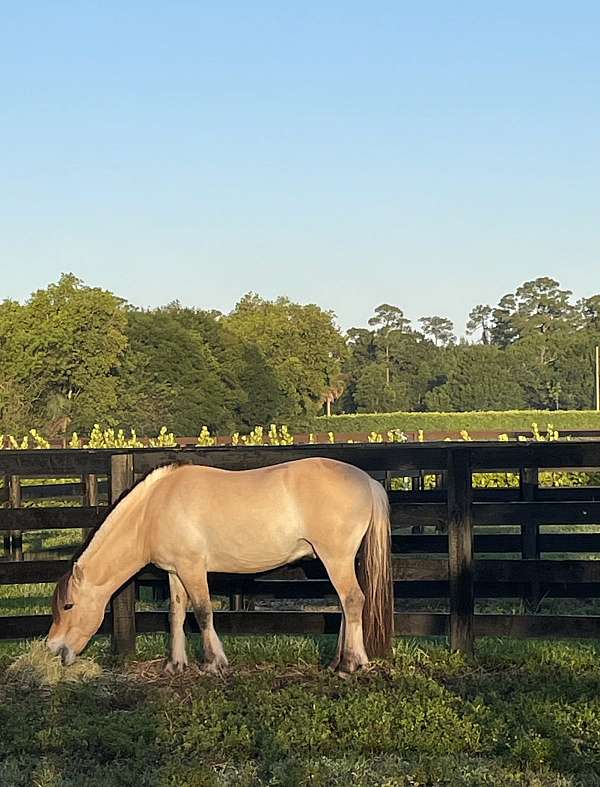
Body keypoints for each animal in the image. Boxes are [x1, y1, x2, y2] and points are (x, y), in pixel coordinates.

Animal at [47, 458, 394, 676]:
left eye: (69, 605)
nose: (53, 648)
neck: (152, 510)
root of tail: (368, 481)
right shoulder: (175, 572)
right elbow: (176, 614)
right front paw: (175, 665)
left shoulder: (192, 569)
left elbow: (203, 612)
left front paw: (214, 663)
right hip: (339, 561)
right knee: (346, 605)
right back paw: (339, 662)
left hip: (336, 559)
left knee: (353, 601)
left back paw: (350, 665)